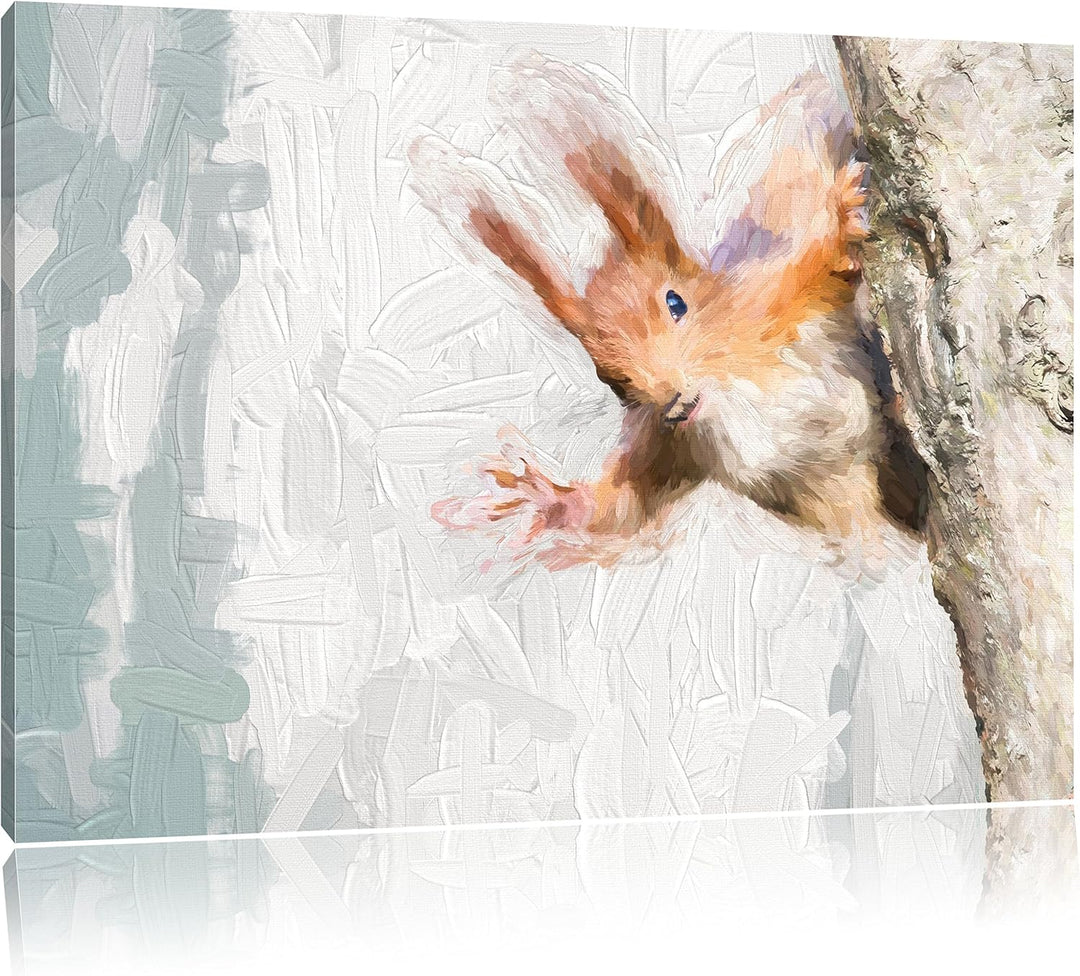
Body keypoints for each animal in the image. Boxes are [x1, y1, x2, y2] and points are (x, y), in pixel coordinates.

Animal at [408, 60, 926, 574]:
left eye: (677, 303)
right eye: (609, 379)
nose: (674, 401)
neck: (726, 398)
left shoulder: (775, 301)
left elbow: (822, 263)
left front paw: (845, 209)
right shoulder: (672, 446)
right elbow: (622, 506)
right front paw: (550, 501)